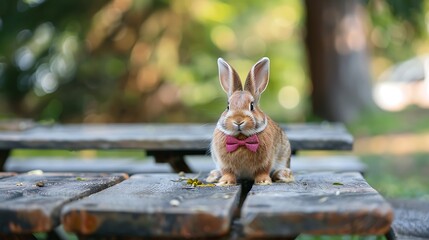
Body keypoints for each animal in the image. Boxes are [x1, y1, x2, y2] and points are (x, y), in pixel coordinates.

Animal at [205, 57, 292, 186]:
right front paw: (225, 182)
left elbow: (263, 171)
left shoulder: (266, 161)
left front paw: (263, 181)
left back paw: (283, 175)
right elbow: (228, 172)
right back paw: (213, 176)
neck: (241, 139)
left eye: (251, 106)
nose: (238, 120)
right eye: (228, 106)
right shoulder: (224, 164)